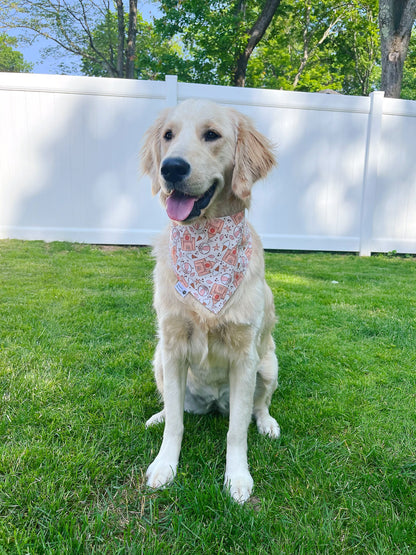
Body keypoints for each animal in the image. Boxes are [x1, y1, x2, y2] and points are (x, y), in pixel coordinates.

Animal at [140, 99, 280, 504]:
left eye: (212, 135)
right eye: (168, 135)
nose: (171, 167)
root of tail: (215, 402)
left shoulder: (245, 356)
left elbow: (237, 431)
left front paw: (237, 478)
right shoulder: (172, 347)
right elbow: (175, 423)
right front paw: (164, 466)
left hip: (269, 365)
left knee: (259, 406)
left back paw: (267, 423)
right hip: (158, 359)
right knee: (173, 407)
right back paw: (156, 417)